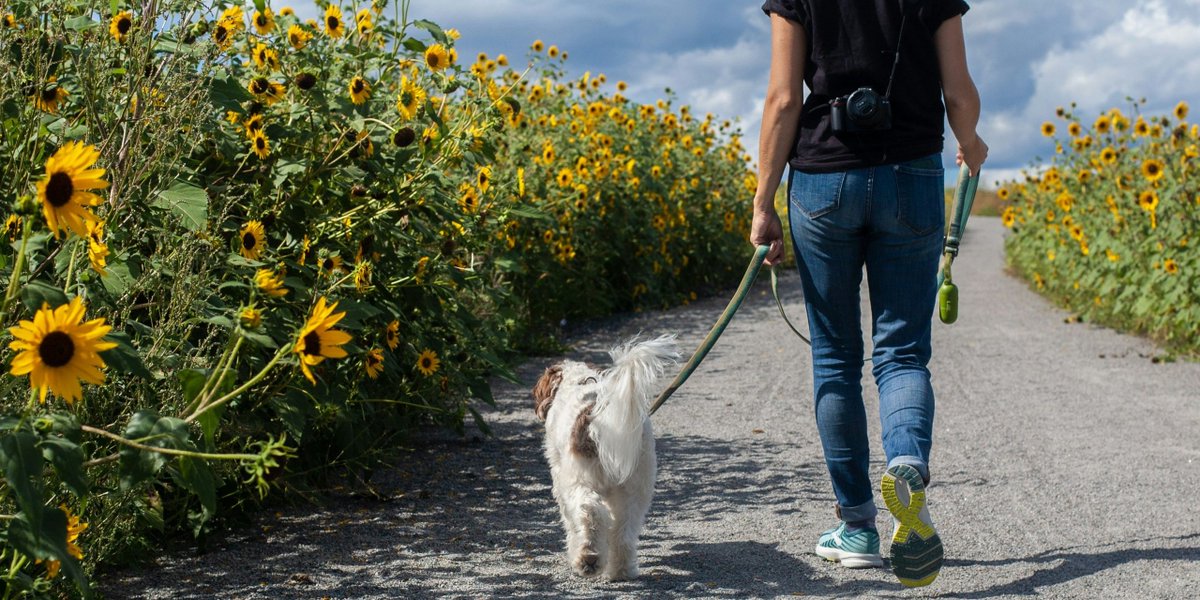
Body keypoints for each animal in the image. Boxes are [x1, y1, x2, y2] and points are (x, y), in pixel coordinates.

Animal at [532, 336, 681, 578]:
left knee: (590, 512)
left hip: (580, 482)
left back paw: (588, 558)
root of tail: (598, 415)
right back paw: (621, 570)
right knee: (624, 531)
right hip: (635, 487)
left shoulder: (561, 481)